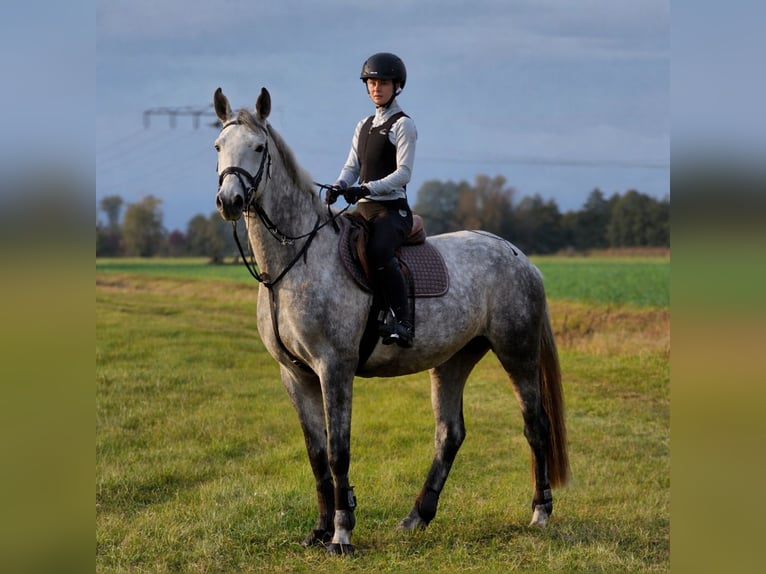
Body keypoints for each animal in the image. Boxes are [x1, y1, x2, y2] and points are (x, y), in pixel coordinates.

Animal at [212, 87, 569, 555]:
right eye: (218, 146)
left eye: (258, 147)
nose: (229, 201)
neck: (293, 261)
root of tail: (519, 257)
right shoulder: (295, 374)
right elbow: (316, 454)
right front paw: (319, 530)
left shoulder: (334, 368)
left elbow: (338, 451)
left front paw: (341, 535)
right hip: (453, 359)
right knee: (450, 434)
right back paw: (417, 516)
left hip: (517, 353)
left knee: (535, 425)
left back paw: (540, 512)